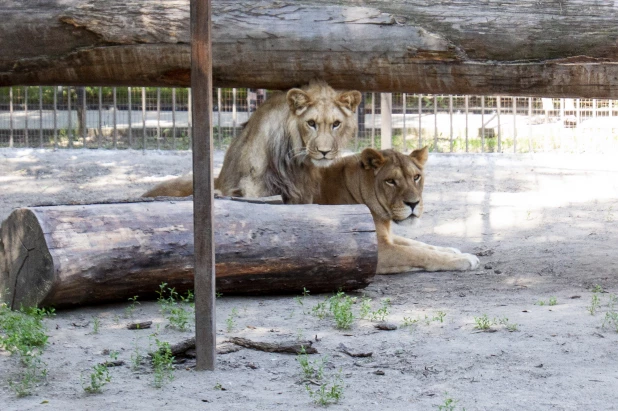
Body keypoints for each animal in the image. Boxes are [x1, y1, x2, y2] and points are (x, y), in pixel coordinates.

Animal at [141, 80, 358, 203]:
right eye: (311, 123)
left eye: (336, 124)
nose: (324, 152)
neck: (293, 162)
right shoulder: (252, 188)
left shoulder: (302, 192)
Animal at [316, 146, 478, 276]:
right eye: (390, 181)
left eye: (416, 177)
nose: (413, 203)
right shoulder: (376, 251)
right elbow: (418, 253)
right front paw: (465, 258)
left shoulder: (386, 236)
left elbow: (419, 244)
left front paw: (451, 250)